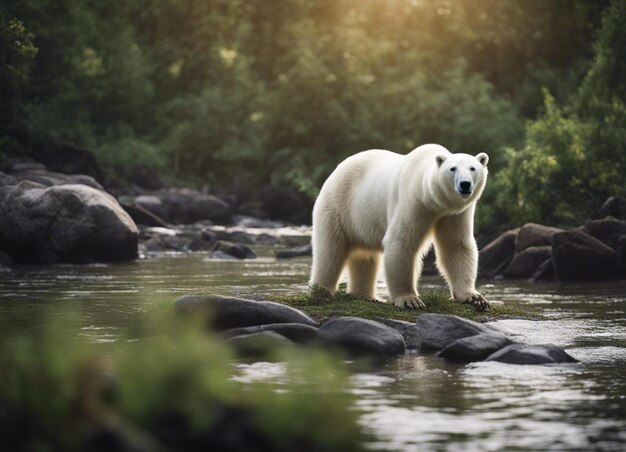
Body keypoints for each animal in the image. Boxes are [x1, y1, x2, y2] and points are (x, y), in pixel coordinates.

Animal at [310, 145, 490, 310]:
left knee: (364, 255)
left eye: (473, 168)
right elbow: (401, 242)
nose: (465, 184)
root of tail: (336, 169)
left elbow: (456, 245)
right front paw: (410, 300)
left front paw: (475, 297)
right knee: (330, 251)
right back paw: (321, 292)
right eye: (453, 168)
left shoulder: (455, 214)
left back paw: (366, 296)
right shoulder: (413, 202)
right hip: (337, 205)